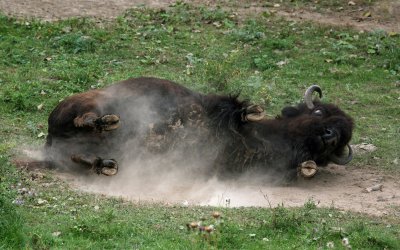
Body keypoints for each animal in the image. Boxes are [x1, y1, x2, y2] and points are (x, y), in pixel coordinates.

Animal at [44, 77, 354, 181]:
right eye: (319, 112)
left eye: (338, 145)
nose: (330, 135)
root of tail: (49, 146)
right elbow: (235, 109)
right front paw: (252, 111)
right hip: (83, 103)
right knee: (82, 117)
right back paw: (105, 122)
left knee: (81, 157)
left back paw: (105, 163)